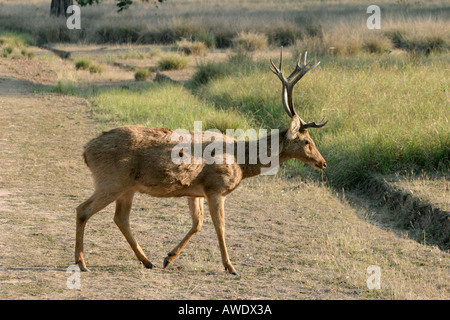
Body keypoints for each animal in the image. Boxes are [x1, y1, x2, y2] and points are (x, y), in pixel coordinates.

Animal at [74, 47, 326, 276]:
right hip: (111, 181)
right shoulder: (216, 188)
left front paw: (168, 257)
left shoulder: (195, 191)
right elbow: (220, 226)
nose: (323, 163)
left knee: (120, 218)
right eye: (307, 141)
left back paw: (147, 261)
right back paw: (82, 263)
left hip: (127, 187)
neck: (241, 161)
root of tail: (86, 151)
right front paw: (230, 267)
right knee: (83, 210)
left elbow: (198, 223)